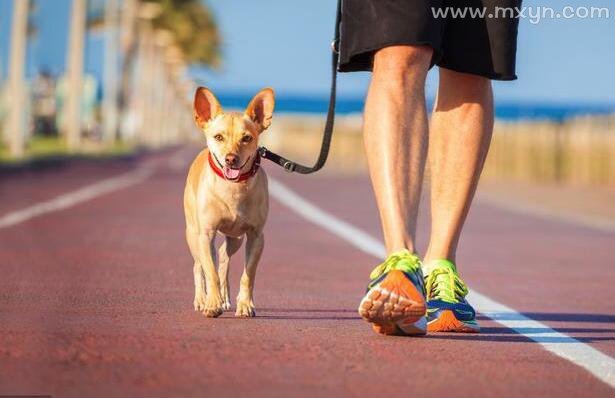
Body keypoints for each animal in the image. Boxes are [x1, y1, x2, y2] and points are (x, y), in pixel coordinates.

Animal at [183, 86, 274, 318]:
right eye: (218, 137)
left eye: (247, 138)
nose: (231, 158)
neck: (233, 188)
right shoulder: (206, 234)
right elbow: (210, 272)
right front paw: (212, 304)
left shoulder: (256, 237)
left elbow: (247, 275)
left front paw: (245, 304)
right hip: (193, 234)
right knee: (198, 265)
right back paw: (202, 299)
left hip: (236, 238)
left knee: (224, 257)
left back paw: (225, 298)